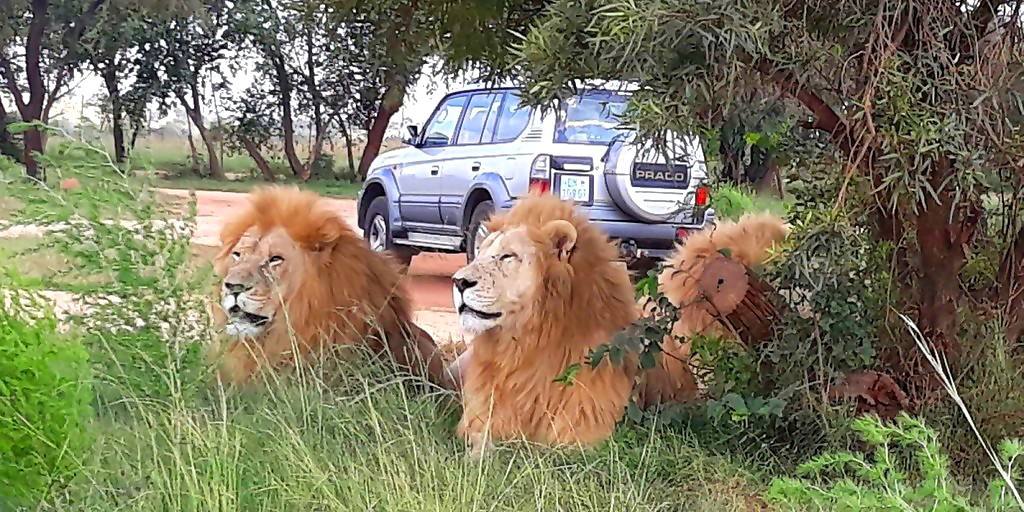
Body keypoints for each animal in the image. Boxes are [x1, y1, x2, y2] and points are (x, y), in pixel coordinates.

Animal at [450, 193, 638, 454]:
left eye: (507, 256)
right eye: (479, 254)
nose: (458, 282)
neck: (524, 348)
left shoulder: (585, 431)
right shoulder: (481, 418)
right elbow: (481, 439)